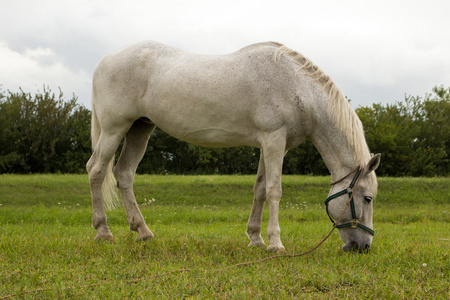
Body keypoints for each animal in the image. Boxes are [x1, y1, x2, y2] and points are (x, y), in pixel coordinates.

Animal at [87, 41, 380, 252]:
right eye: (367, 198)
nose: (363, 246)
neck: (296, 88)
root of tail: (105, 60)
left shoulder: (269, 144)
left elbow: (260, 189)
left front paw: (256, 239)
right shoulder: (274, 140)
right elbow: (274, 190)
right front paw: (276, 244)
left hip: (140, 129)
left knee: (124, 174)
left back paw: (143, 232)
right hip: (115, 129)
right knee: (96, 170)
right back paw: (103, 232)